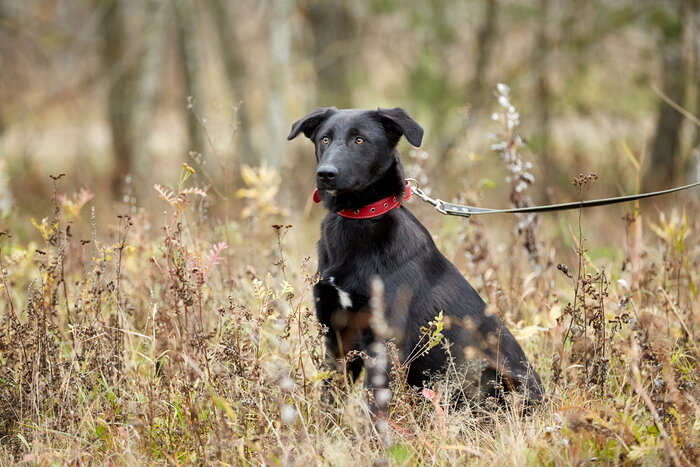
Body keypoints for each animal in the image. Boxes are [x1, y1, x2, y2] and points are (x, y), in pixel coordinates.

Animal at [288, 108, 544, 408]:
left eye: (360, 140)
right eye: (325, 139)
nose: (326, 174)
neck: (357, 219)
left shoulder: (385, 339)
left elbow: (374, 403)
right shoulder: (337, 334)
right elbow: (330, 396)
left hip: (486, 374)